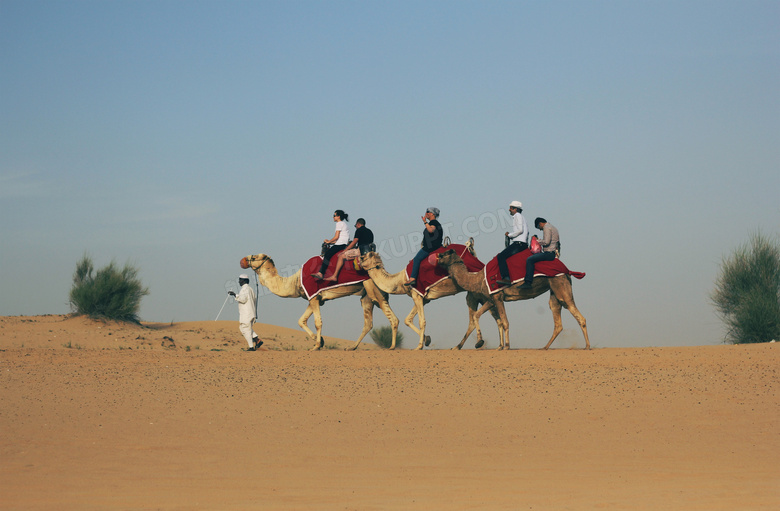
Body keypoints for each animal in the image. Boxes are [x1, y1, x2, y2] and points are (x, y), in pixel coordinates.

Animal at [238, 253, 400, 350]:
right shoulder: (314, 298)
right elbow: (301, 321)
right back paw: (352, 347)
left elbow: (317, 322)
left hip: (373, 288)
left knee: (392, 318)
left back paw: (392, 347)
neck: (295, 281)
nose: (242, 260)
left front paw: (316, 346)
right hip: (366, 295)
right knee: (368, 323)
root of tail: (382, 269)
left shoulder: (314, 296)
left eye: (254, 257)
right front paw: (320, 341)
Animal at [360, 250, 500, 350]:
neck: (400, 281)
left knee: (487, 314)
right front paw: (427, 340)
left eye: (365, 256)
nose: (359, 259)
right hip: (473, 294)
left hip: (478, 292)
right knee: (485, 316)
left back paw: (484, 343)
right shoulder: (422, 298)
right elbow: (408, 319)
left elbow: (422, 321)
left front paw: (419, 346)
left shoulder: (417, 294)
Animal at [432, 249, 592, 352]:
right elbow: (489, 318)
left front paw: (503, 345)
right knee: (557, 317)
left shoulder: (496, 296)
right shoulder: (492, 299)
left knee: (577, 314)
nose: (436, 256)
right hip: (554, 290)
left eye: (444, 254)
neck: (477, 279)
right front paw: (492, 345)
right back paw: (545, 347)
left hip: (560, 283)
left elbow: (501, 321)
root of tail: (567, 270)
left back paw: (587, 346)